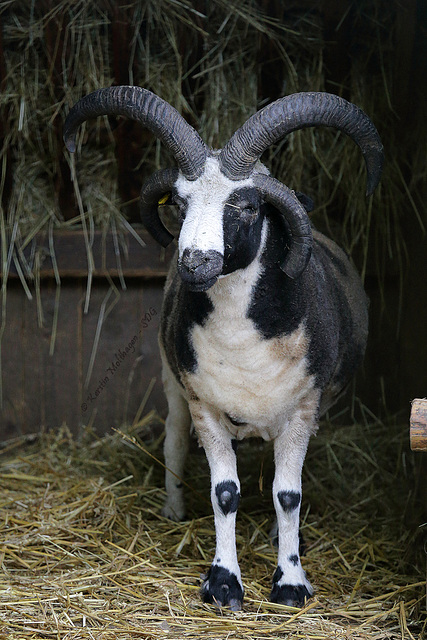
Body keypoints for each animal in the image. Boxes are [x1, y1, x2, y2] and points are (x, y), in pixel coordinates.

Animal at [64, 85, 384, 608]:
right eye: (178, 202)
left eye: (249, 205)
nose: (195, 262)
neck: (242, 342)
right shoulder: (205, 406)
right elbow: (225, 493)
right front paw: (223, 583)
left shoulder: (302, 409)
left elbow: (288, 495)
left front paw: (290, 584)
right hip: (172, 384)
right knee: (174, 443)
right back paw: (173, 509)